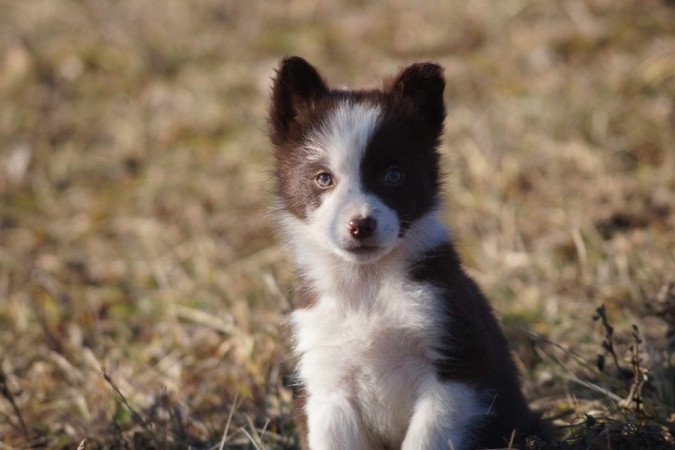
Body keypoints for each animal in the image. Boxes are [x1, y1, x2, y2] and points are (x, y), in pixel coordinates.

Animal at [266, 57, 548, 450]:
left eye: (394, 175)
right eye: (323, 178)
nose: (361, 225)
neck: (367, 286)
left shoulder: (454, 369)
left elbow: (424, 440)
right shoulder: (327, 386)